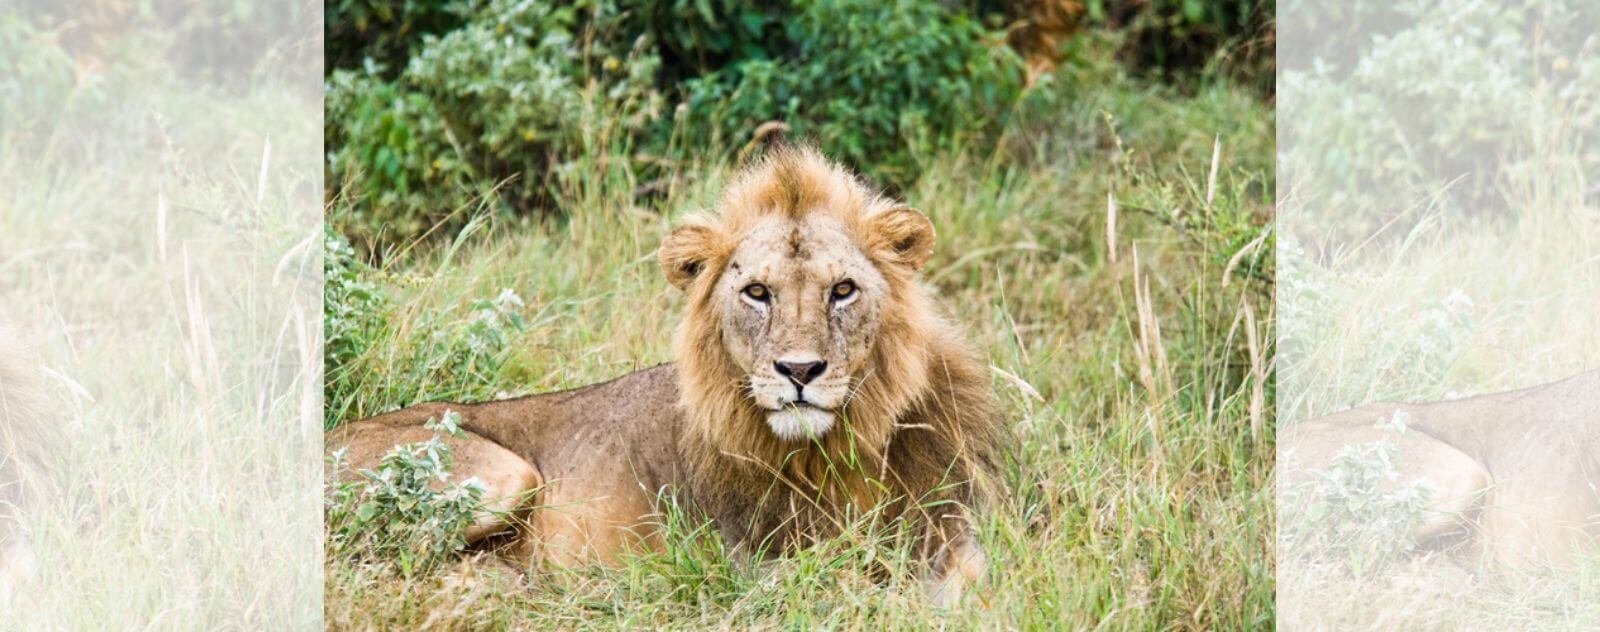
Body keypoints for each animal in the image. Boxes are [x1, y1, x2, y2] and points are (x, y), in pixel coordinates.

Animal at [324, 146, 998, 604]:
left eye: (843, 290)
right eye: (757, 292)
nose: (799, 370)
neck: (835, 452)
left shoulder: (954, 528)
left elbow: (970, 579)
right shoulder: (755, 563)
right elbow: (849, 582)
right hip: (505, 474)